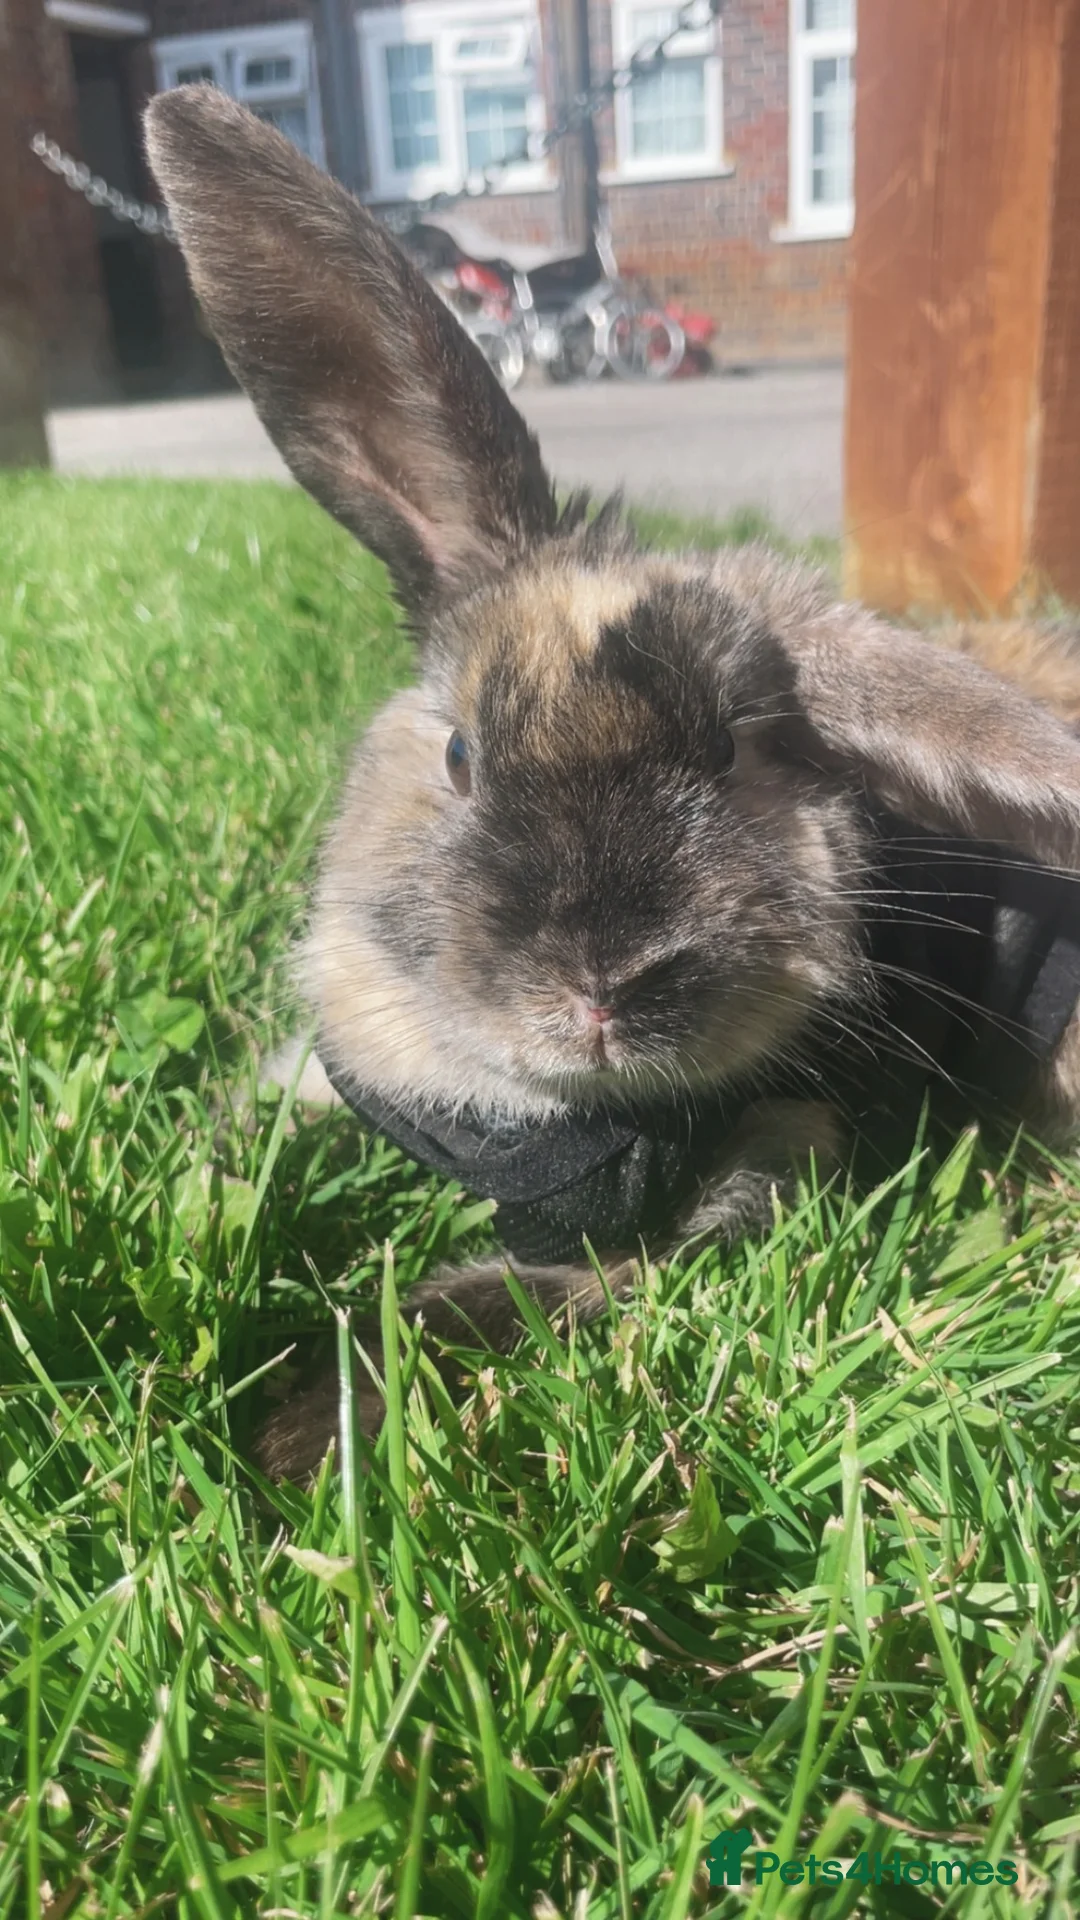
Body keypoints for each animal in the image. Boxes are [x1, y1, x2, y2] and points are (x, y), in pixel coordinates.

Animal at [145, 87, 1080, 1482]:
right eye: (462, 753)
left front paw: (307, 1430)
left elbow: (532, 1296)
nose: (605, 984)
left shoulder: (760, 1159)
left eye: (741, 751)